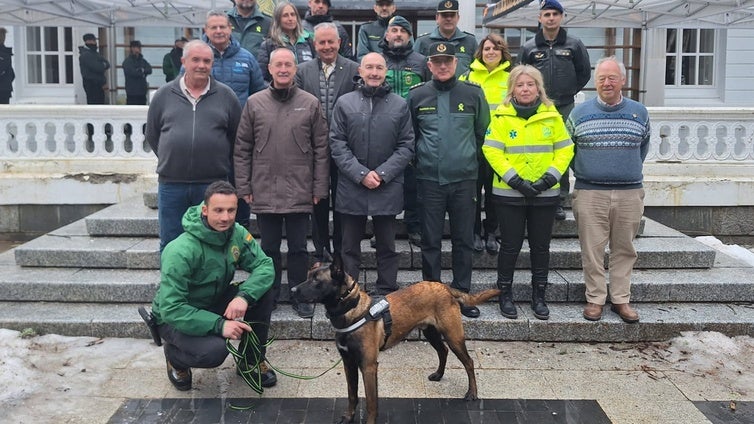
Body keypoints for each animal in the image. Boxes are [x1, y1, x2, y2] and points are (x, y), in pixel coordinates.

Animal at [290, 258, 500, 424]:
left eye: (316, 280)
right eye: (308, 276)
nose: (292, 290)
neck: (353, 311)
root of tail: (444, 287)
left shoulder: (368, 366)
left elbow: (371, 402)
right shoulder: (349, 363)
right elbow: (352, 395)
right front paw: (348, 417)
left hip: (453, 336)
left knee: (469, 362)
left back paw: (472, 393)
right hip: (431, 333)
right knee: (443, 351)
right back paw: (439, 375)